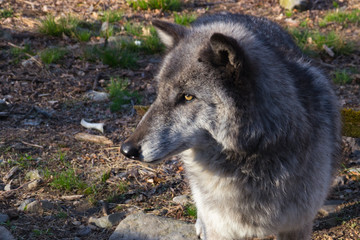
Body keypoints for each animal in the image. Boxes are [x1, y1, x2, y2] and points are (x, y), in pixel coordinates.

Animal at [120, 13, 340, 240]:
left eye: (187, 97)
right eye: (160, 93)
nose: (127, 150)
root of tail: (225, 14)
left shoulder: (298, 224)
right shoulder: (221, 228)